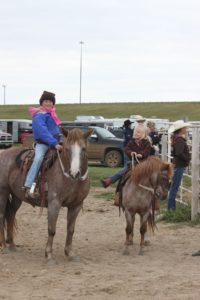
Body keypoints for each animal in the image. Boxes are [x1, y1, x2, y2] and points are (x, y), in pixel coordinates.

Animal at [0, 126, 92, 260]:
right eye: (67, 149)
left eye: (83, 148)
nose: (74, 173)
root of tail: (3, 153)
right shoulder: (54, 203)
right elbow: (51, 229)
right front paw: (48, 254)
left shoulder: (76, 205)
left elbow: (70, 230)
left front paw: (69, 253)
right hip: (3, 192)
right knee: (2, 216)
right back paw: (3, 245)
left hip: (17, 196)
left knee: (11, 215)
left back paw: (12, 245)